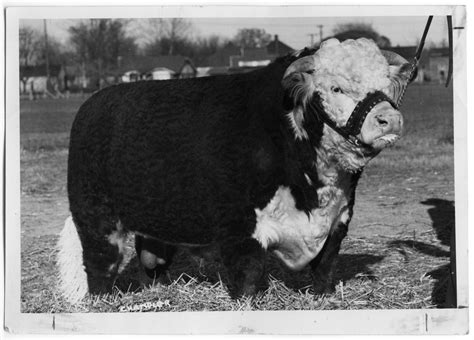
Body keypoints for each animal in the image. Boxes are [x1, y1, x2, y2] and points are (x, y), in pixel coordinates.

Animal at [57, 37, 412, 302]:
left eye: (385, 84)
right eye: (336, 88)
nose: (389, 119)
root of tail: (94, 102)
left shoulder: (338, 221)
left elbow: (324, 271)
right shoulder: (240, 231)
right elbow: (248, 280)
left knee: (150, 260)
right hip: (96, 219)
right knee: (100, 265)